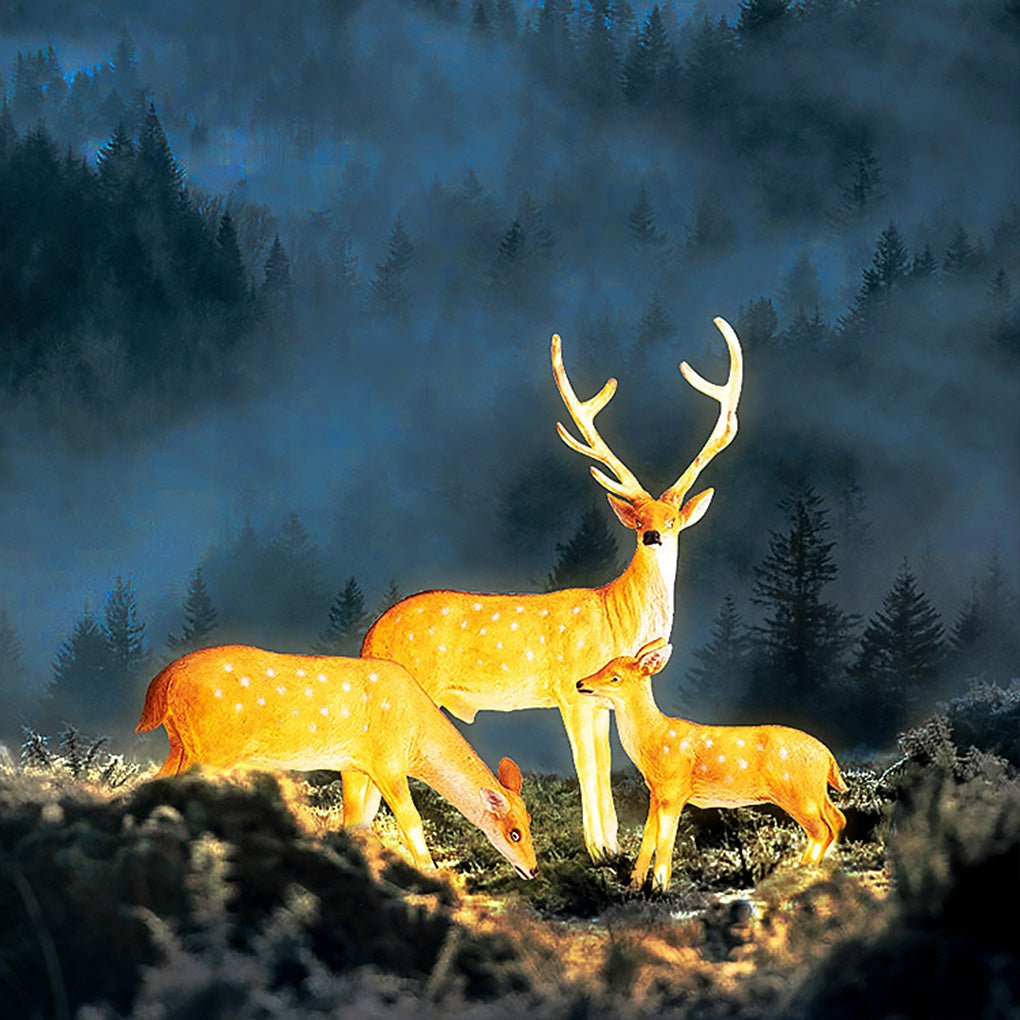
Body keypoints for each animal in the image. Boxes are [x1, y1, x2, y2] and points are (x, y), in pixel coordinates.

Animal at [134, 644, 538, 879]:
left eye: (529, 822)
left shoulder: (358, 764)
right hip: (213, 747)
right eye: (513, 832)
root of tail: (164, 681)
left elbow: (357, 819)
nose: (533, 868)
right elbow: (410, 818)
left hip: (183, 743)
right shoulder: (387, 758)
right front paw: (430, 870)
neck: (417, 736)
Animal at [355, 317, 743, 861]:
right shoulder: (569, 688)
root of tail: (370, 636)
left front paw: (612, 849)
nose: (653, 535)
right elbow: (585, 768)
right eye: (637, 519)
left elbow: (602, 768)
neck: (616, 619)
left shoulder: (599, 702)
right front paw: (598, 850)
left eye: (672, 519)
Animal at [576, 639, 848, 891]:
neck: (655, 742)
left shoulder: (675, 789)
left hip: (797, 792)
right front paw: (635, 884)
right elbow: (648, 836)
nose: (580, 683)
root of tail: (827, 756)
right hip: (815, 792)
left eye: (615, 677)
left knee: (820, 829)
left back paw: (803, 870)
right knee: (837, 819)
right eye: (604, 665)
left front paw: (659, 888)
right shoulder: (656, 793)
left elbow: (665, 840)